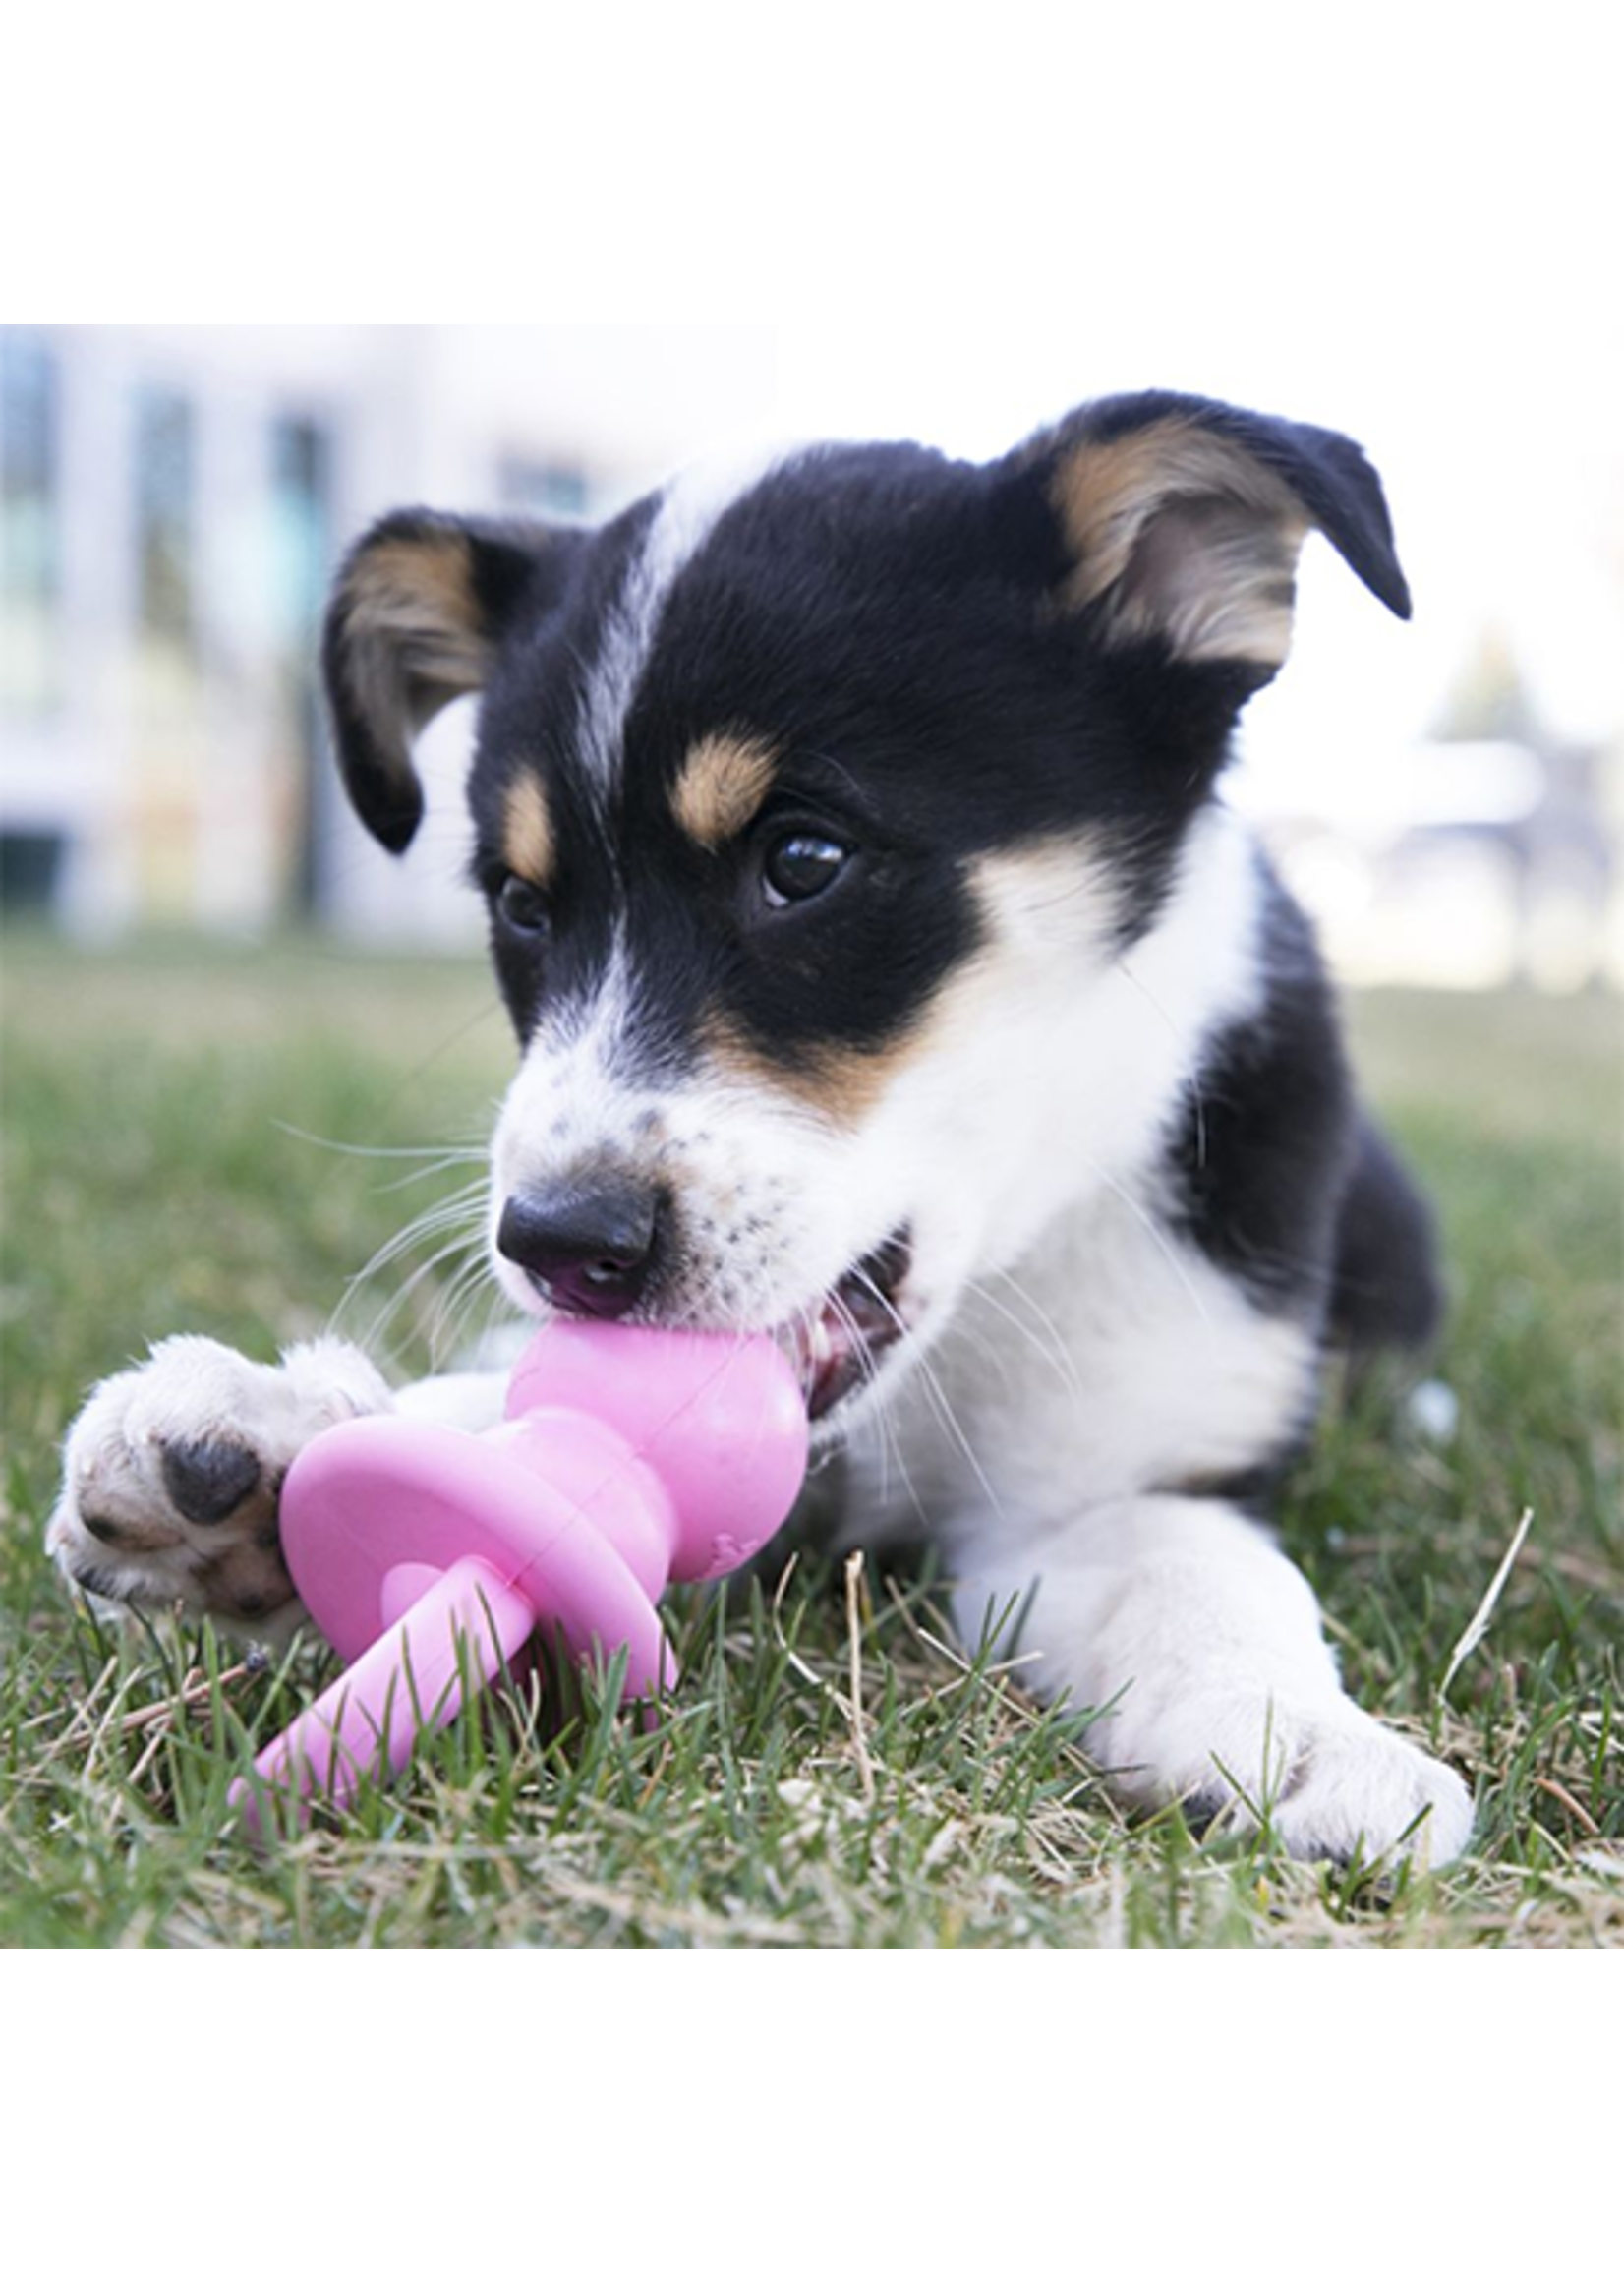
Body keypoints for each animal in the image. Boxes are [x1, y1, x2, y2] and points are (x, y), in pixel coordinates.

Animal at [47, 390, 1465, 1864]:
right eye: (522, 905)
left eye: (804, 862)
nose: (557, 1244)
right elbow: (516, 1412)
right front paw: (263, 1454)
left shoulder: (1127, 1467)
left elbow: (1195, 1572)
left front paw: (1300, 1740)